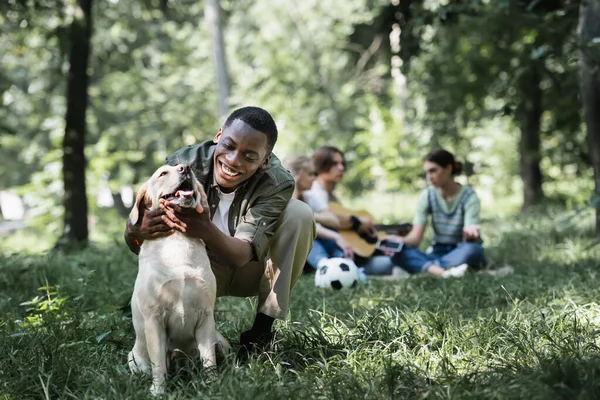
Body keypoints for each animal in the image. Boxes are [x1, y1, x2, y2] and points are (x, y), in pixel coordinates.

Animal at [127, 164, 230, 396]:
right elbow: (159, 365)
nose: (186, 168)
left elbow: (209, 360)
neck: (177, 239)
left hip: (222, 341)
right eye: (162, 173)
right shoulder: (154, 320)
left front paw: (213, 386)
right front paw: (158, 391)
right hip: (133, 359)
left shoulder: (206, 316)